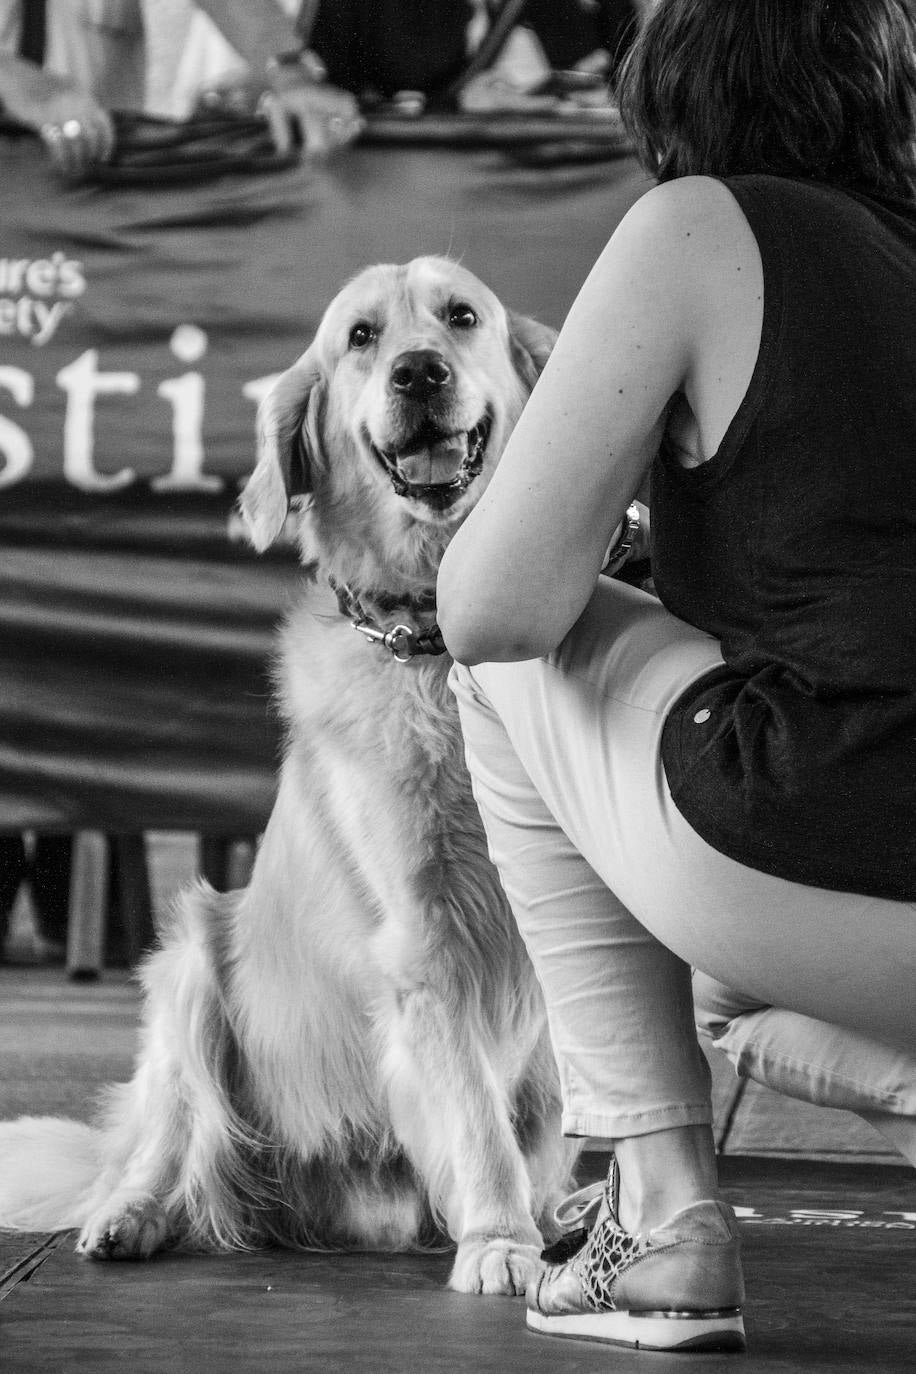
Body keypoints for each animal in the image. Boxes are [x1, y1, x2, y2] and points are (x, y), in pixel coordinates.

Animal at [0, 258, 576, 1297]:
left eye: (462, 316)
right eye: (360, 338)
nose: (419, 372)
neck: (438, 640)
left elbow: (551, 1115)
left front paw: (554, 1225)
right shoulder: (424, 940)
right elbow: (478, 1116)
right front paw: (501, 1241)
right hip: (192, 960)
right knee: (169, 1148)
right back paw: (130, 1216)